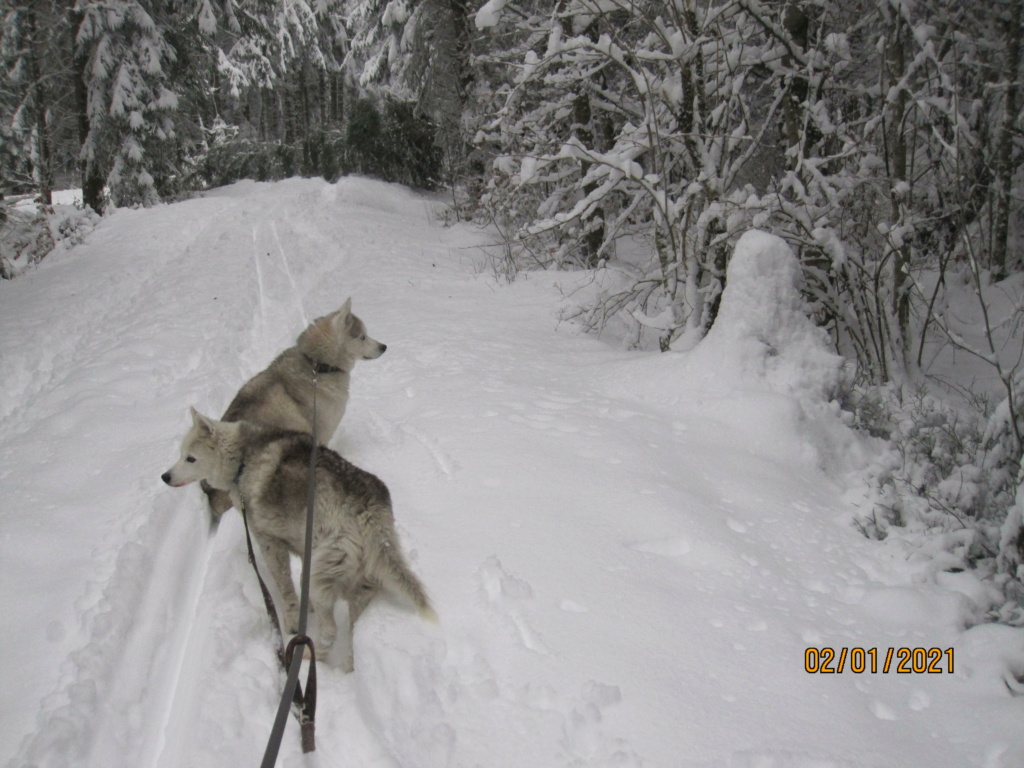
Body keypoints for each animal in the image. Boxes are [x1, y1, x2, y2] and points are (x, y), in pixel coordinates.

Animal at [161, 409, 434, 671]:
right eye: (181, 454)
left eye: (190, 458)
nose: (165, 476)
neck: (243, 459)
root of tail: (366, 507)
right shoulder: (303, 545)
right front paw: (306, 609)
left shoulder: (269, 543)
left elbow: (285, 587)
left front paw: (293, 620)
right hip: (359, 584)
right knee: (353, 634)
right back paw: (347, 666)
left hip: (322, 576)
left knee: (330, 632)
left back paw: (308, 659)